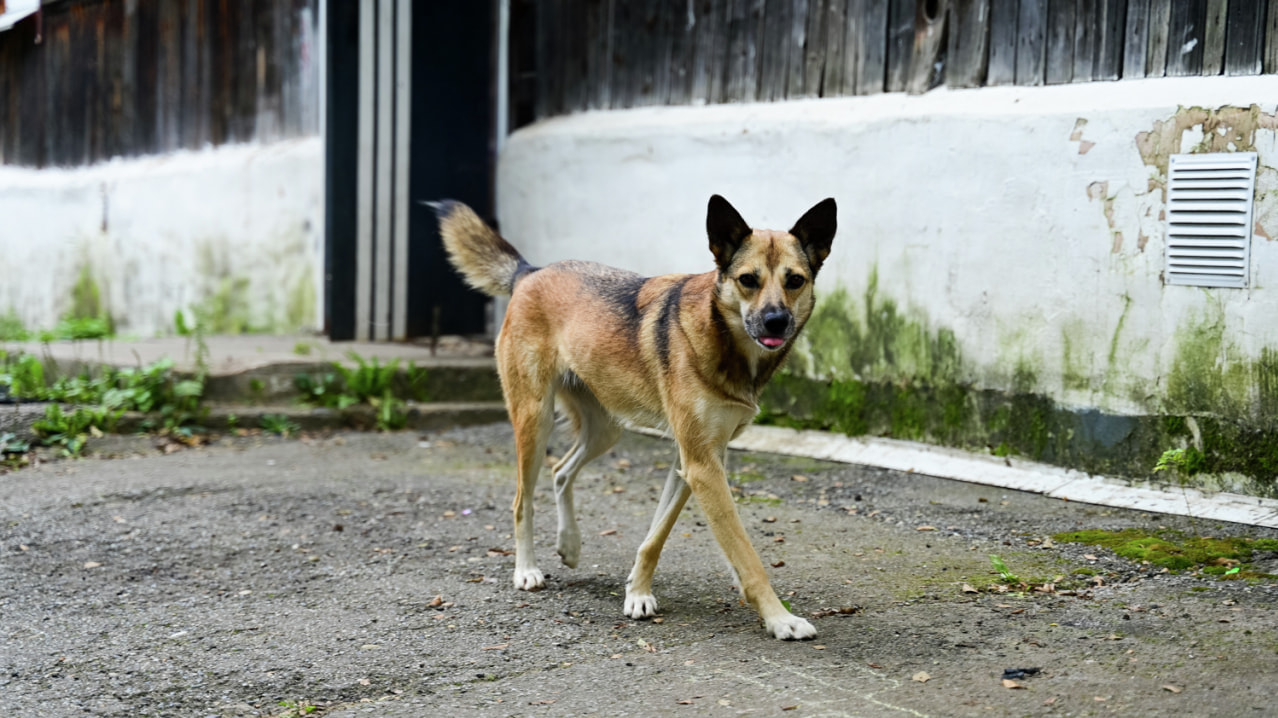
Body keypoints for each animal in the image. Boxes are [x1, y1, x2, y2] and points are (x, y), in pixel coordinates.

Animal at [439, 194, 838, 636]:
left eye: (795, 280)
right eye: (748, 279)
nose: (776, 322)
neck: (722, 335)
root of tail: (531, 272)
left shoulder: (699, 460)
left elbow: (656, 535)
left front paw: (637, 592)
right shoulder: (701, 467)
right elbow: (745, 553)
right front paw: (779, 618)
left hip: (605, 429)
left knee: (561, 470)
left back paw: (569, 544)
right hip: (534, 418)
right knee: (521, 501)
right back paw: (526, 569)